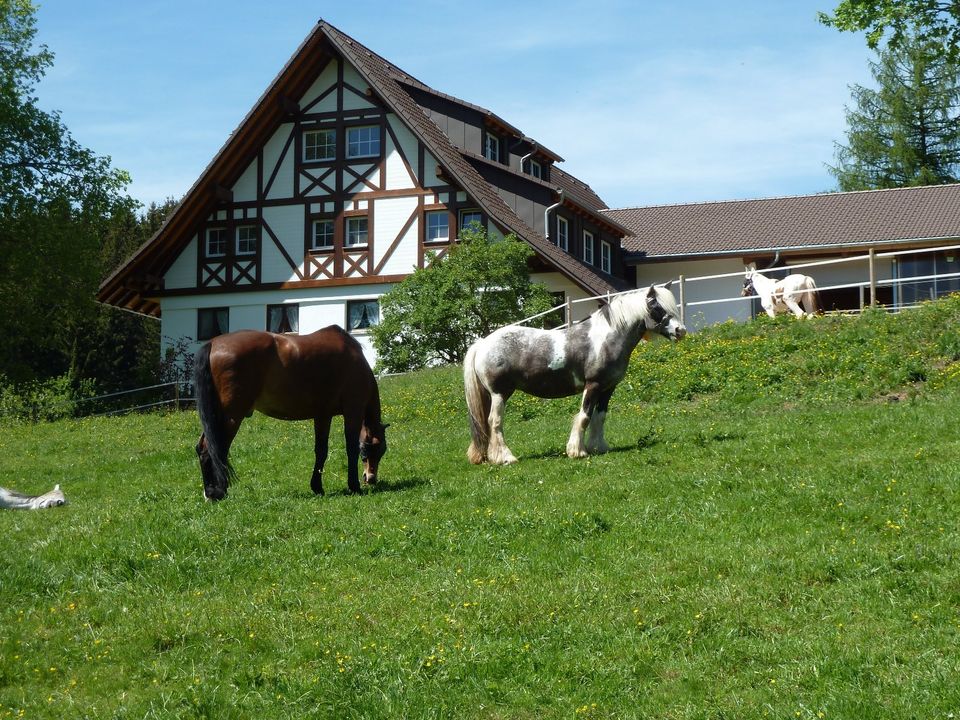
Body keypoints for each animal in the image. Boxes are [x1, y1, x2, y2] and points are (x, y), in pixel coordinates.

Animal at [191, 326, 386, 500]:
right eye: (376, 448)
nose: (371, 479)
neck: (355, 360)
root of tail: (213, 344)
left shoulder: (323, 416)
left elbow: (321, 450)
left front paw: (317, 487)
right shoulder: (353, 411)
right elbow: (351, 448)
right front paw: (354, 486)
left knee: (204, 448)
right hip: (230, 417)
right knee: (212, 449)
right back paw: (215, 493)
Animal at [464, 284, 684, 464]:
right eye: (657, 308)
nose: (680, 331)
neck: (606, 339)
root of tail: (483, 343)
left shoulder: (607, 389)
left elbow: (599, 417)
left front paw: (598, 447)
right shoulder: (593, 385)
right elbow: (585, 417)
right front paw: (577, 451)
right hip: (500, 393)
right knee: (495, 422)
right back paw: (505, 458)